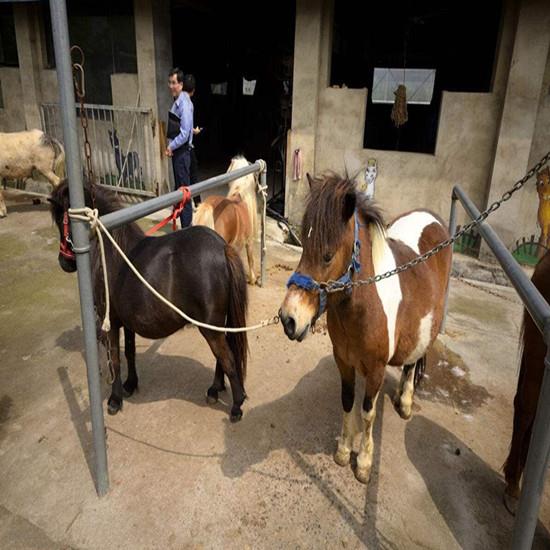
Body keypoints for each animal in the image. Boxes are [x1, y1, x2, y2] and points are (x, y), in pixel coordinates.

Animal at [50, 184, 249, 422]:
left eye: (60, 217)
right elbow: (129, 352)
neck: (112, 252)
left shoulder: (111, 323)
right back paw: (215, 389)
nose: (64, 263)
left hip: (210, 328)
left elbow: (115, 359)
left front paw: (115, 399)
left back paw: (237, 405)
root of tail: (221, 248)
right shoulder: (126, 321)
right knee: (222, 356)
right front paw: (130, 384)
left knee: (227, 358)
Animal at [280, 175, 452, 486]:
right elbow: (348, 402)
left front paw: (363, 461)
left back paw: (405, 402)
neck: (363, 305)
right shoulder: (344, 360)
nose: (288, 318)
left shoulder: (375, 369)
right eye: (303, 245)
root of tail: (431, 218)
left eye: (327, 255)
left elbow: (368, 412)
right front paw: (343, 449)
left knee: (413, 362)